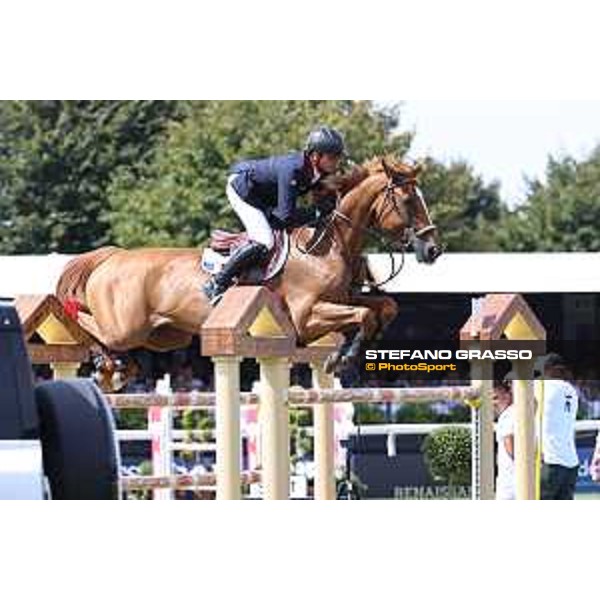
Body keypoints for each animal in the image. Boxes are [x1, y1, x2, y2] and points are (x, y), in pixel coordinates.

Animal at [56, 157, 440, 386]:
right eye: (408, 200)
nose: (432, 249)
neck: (328, 244)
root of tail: (112, 257)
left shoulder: (344, 298)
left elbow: (384, 308)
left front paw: (350, 352)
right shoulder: (306, 316)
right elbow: (362, 315)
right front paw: (341, 358)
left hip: (164, 334)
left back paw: (119, 367)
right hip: (126, 326)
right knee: (89, 323)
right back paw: (104, 360)